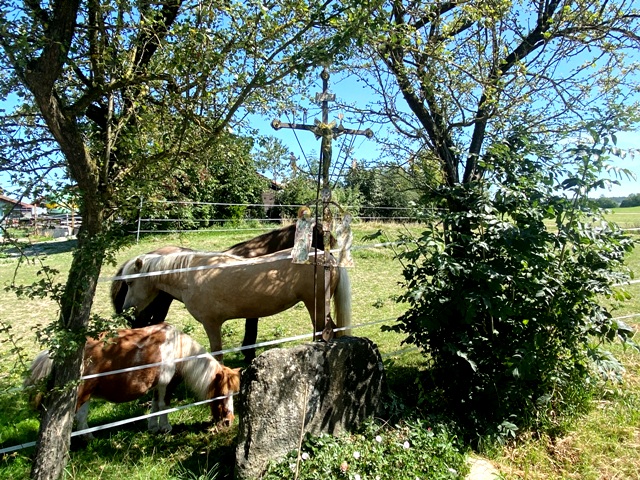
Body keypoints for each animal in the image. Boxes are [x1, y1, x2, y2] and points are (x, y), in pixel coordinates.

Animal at [23, 322, 240, 438]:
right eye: (222, 394)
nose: (229, 422)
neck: (177, 349)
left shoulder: (157, 386)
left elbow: (154, 405)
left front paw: (153, 427)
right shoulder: (165, 385)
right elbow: (163, 406)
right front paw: (165, 427)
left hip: (86, 394)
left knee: (81, 417)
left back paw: (88, 437)